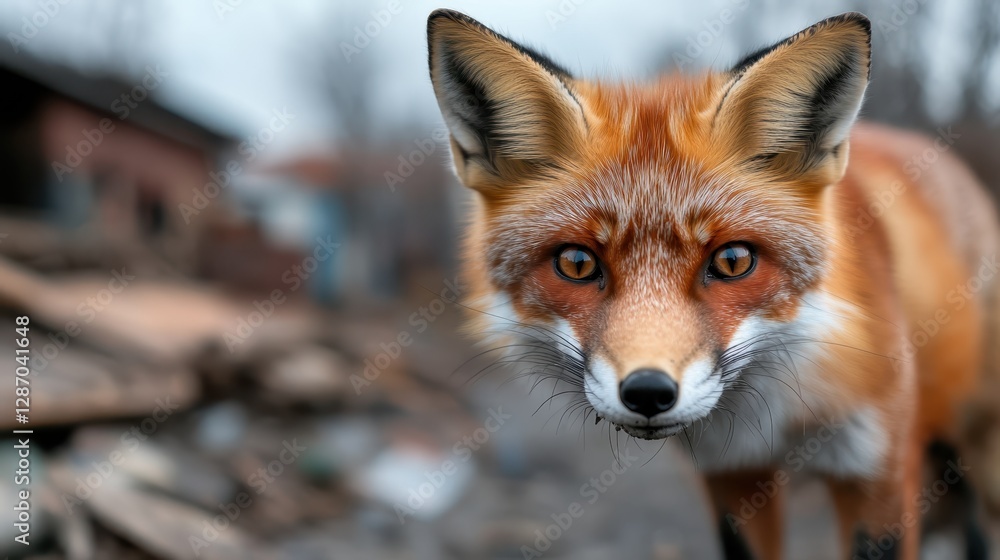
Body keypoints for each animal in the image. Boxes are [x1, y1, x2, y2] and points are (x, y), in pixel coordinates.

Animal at [426, 9, 1000, 560]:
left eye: (732, 261)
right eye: (577, 263)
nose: (648, 392)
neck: (776, 416)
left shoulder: (876, 470)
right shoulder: (733, 475)